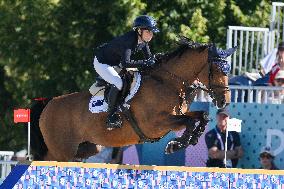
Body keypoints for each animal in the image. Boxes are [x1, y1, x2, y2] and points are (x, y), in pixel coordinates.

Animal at [30, 37, 236, 162]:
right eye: (216, 69)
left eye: (228, 69)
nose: (224, 100)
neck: (168, 82)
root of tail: (48, 104)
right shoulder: (156, 123)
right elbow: (191, 121)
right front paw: (175, 145)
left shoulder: (175, 117)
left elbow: (201, 117)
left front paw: (185, 141)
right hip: (62, 151)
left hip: (87, 148)